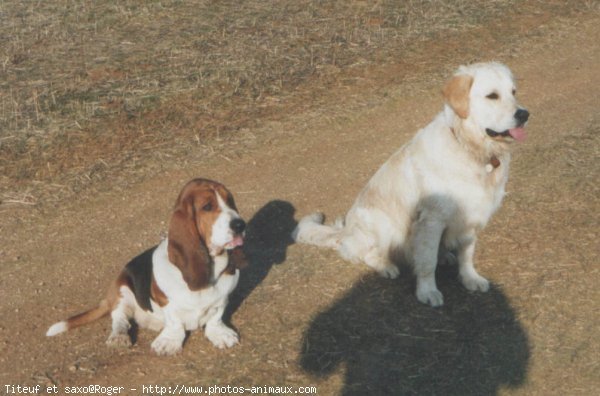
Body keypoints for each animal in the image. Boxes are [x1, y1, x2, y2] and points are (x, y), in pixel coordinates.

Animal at [296, 62, 528, 306]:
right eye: (492, 96)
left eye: (513, 92)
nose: (524, 114)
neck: (469, 148)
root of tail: (346, 231)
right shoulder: (431, 219)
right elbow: (427, 263)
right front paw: (427, 292)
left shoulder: (471, 215)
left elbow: (466, 253)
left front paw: (470, 278)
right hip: (381, 224)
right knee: (363, 253)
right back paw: (386, 265)